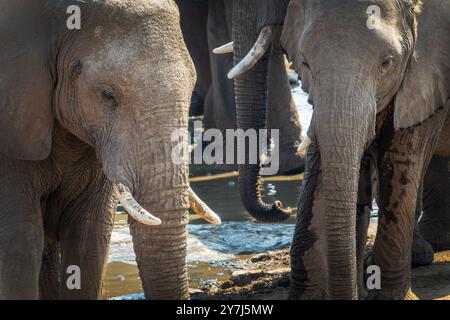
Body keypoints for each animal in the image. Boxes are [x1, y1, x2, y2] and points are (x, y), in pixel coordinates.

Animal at [230, 0, 448, 300]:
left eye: (387, 63)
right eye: (305, 63)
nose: (280, 206)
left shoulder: (429, 66)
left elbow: (402, 159)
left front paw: (389, 297)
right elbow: (323, 158)